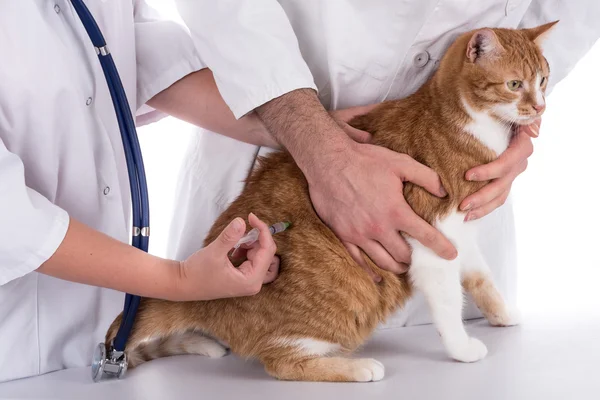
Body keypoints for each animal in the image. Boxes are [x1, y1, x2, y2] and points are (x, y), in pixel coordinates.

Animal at [106, 21, 556, 382]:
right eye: (515, 85)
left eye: (544, 80)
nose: (540, 107)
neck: (469, 124)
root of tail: (207, 296)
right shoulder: (434, 240)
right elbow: (448, 304)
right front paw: (463, 349)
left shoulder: (463, 236)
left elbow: (482, 280)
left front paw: (503, 315)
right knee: (283, 363)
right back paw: (359, 368)